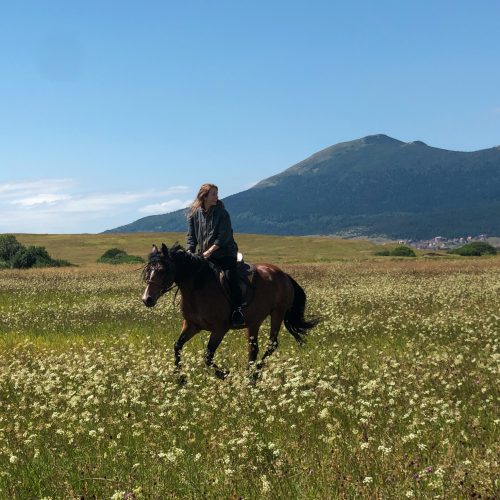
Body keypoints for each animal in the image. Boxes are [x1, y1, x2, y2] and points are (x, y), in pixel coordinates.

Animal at [143, 242, 318, 378]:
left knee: (271, 344)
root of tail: (283, 274)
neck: (197, 287)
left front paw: (224, 374)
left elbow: (207, 356)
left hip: (277, 313)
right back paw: (250, 376)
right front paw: (180, 379)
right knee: (253, 348)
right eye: (148, 270)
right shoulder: (192, 325)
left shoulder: (220, 329)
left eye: (162, 270)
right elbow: (177, 346)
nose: (147, 299)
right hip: (254, 322)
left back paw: (255, 374)